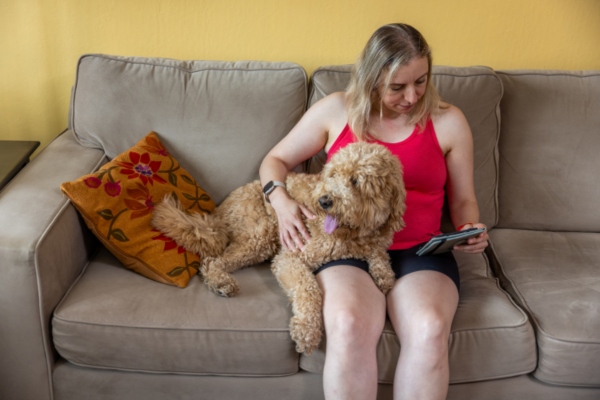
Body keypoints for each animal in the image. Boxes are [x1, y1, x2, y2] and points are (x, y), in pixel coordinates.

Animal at [152, 143, 406, 354]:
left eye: (356, 181)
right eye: (333, 174)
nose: (324, 201)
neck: (352, 235)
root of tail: (218, 214)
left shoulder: (374, 241)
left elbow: (379, 253)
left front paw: (384, 275)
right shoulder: (291, 257)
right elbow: (308, 289)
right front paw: (307, 330)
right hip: (260, 236)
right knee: (212, 260)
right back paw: (221, 282)